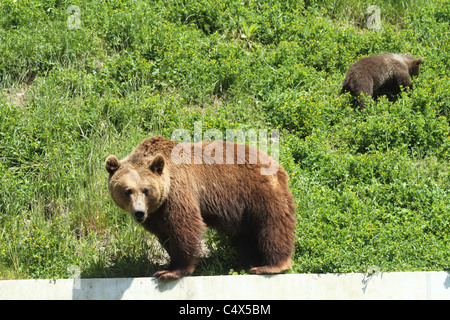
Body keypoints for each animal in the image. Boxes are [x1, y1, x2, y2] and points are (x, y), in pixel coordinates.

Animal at [104, 136, 296, 282]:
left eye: (146, 190)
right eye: (127, 191)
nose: (139, 213)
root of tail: (278, 164)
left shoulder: (179, 191)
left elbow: (184, 226)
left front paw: (172, 272)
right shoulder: (156, 213)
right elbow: (165, 235)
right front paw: (167, 266)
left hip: (259, 192)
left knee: (272, 225)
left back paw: (270, 266)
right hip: (245, 209)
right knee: (246, 235)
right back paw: (244, 265)